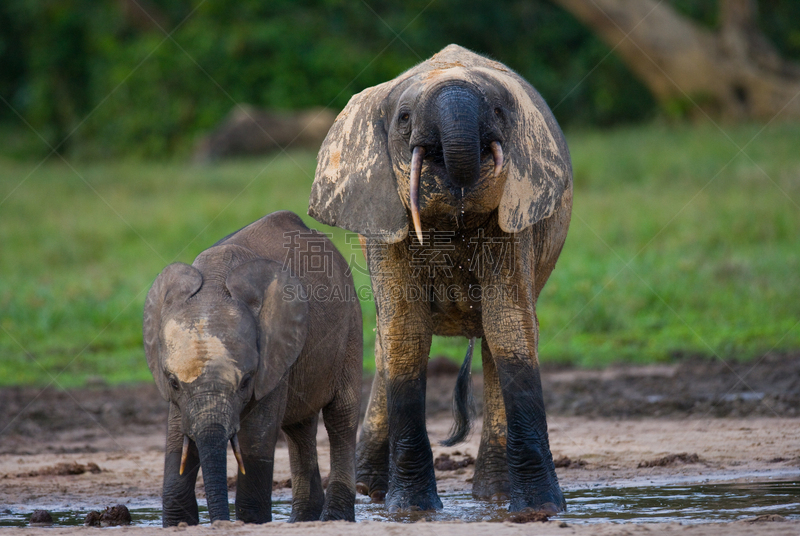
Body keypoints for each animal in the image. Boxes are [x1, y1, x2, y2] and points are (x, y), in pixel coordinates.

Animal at [144, 211, 362, 524]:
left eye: (246, 382)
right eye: (172, 382)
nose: (220, 523)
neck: (214, 286)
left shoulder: (273, 354)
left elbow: (257, 437)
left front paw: (251, 522)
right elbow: (177, 438)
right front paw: (178, 523)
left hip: (351, 329)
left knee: (341, 417)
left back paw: (334, 519)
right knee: (299, 430)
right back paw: (302, 519)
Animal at [304, 44, 568, 512]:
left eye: (498, 110)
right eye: (404, 117)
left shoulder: (515, 217)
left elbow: (509, 327)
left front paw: (542, 509)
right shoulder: (383, 219)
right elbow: (406, 333)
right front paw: (411, 510)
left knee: (496, 342)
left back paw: (494, 496)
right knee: (386, 340)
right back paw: (370, 492)